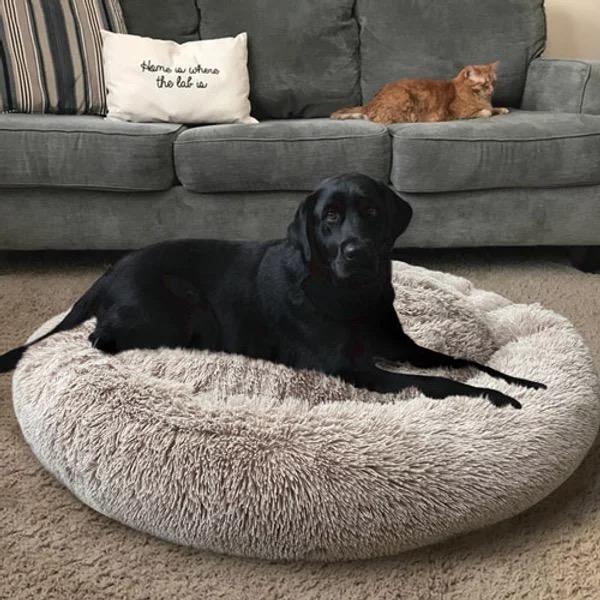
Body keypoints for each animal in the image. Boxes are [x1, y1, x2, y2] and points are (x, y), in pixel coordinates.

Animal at [0, 173, 544, 407]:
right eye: (329, 218)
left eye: (371, 212)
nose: (356, 252)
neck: (351, 296)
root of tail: (109, 272)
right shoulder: (353, 367)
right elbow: (443, 383)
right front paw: (497, 399)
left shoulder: (399, 344)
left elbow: (466, 362)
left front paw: (523, 382)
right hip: (179, 305)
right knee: (100, 339)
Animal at [331, 62, 509, 125]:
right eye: (484, 84)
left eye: (494, 82)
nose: (492, 90)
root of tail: (369, 104)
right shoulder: (459, 113)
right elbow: (485, 112)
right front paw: (490, 110)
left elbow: (493, 108)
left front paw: (501, 108)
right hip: (404, 100)